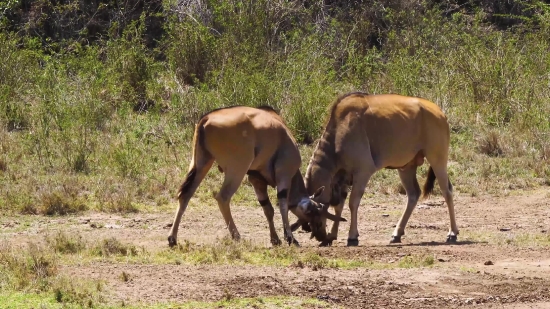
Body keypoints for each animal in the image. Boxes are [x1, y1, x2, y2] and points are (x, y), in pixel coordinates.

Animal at [167, 104, 344, 247]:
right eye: (317, 212)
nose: (322, 236)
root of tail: (206, 119)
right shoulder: (284, 174)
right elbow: (283, 205)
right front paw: (290, 238)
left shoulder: (256, 180)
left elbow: (268, 209)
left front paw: (275, 239)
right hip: (236, 170)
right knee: (222, 197)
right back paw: (237, 236)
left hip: (201, 165)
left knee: (185, 195)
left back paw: (172, 238)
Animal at [304, 91, 460, 245]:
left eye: (316, 212)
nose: (318, 235)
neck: (341, 128)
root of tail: (440, 112)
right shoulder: (343, 178)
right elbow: (339, 205)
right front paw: (332, 235)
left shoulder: (363, 172)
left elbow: (353, 202)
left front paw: (352, 236)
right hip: (406, 167)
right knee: (413, 194)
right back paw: (397, 234)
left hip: (437, 159)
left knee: (447, 191)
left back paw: (452, 233)